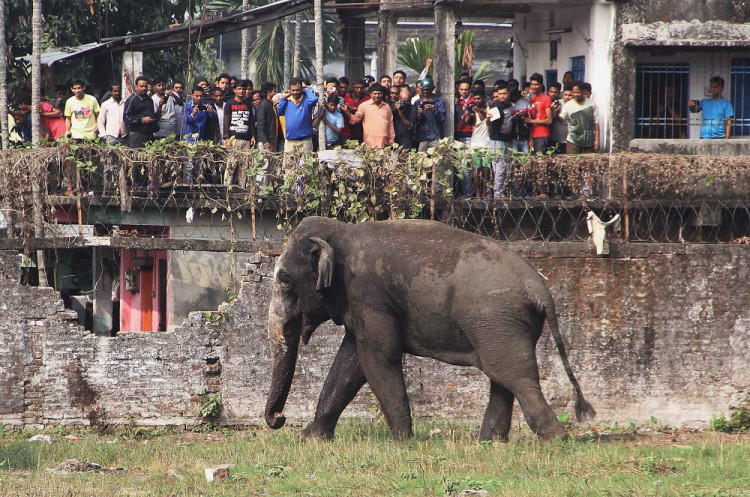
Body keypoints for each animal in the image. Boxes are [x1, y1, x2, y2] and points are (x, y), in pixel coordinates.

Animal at [268, 215, 596, 440]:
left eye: (284, 279)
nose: (279, 418)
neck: (342, 231)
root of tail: (540, 288)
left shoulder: (368, 293)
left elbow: (378, 358)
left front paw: (401, 441)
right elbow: (350, 362)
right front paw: (311, 438)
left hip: (497, 319)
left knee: (515, 376)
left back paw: (555, 439)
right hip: (502, 325)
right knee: (502, 375)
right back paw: (489, 443)